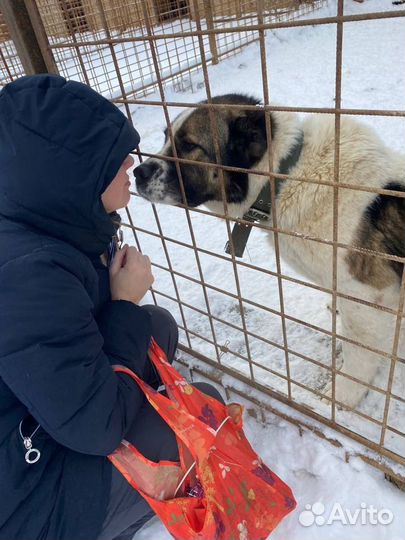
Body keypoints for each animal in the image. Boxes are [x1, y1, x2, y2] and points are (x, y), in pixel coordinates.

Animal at [135, 96, 404, 410]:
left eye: (189, 145)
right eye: (166, 137)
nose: (137, 172)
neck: (284, 178)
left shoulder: (367, 297)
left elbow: (359, 354)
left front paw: (344, 395)